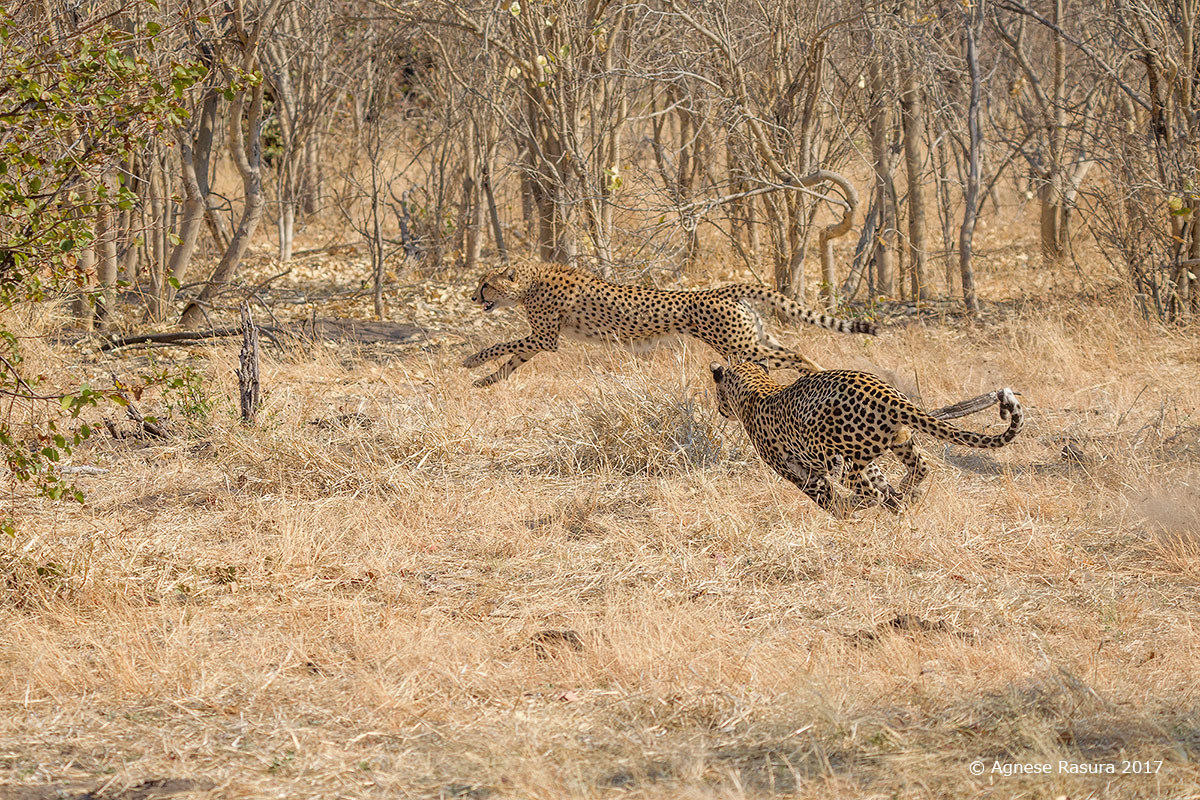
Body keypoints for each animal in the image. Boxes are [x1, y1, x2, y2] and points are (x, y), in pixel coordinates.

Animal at [462, 261, 877, 387]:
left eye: (485, 284)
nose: (472, 298)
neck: (529, 281)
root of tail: (722, 289)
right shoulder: (541, 340)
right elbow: (512, 359)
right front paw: (487, 381)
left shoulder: (545, 337)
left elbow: (504, 345)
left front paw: (470, 362)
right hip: (753, 338)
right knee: (793, 351)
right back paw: (820, 375)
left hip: (738, 346)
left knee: (795, 354)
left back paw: (819, 375)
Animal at [709, 360, 1024, 518]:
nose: (720, 408)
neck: (755, 387)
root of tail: (888, 394)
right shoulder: (869, 464)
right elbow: (882, 485)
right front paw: (897, 506)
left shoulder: (800, 472)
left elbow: (823, 497)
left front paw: (841, 514)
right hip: (897, 441)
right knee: (919, 467)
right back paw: (907, 493)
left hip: (839, 458)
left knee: (867, 491)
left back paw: (864, 503)